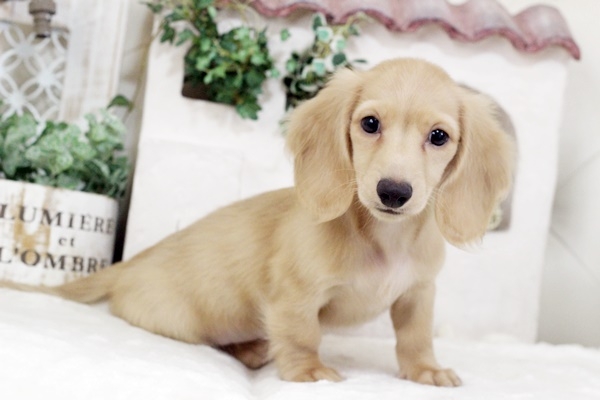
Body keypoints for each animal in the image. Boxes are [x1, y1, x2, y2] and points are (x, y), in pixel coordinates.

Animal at [2, 58, 514, 386]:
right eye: (370, 124)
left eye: (439, 136)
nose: (393, 192)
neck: (383, 238)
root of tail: (132, 263)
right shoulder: (295, 296)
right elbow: (303, 334)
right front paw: (308, 372)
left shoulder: (417, 294)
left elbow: (415, 337)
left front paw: (425, 370)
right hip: (186, 324)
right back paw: (253, 349)